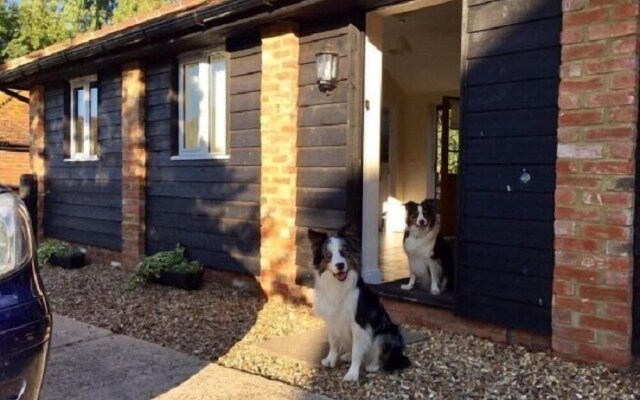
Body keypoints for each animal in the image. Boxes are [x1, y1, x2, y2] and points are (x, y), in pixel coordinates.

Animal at [308, 225, 410, 382]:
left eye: (344, 252)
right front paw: (330, 359)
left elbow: (357, 352)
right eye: (329, 255)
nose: (340, 265)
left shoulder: (358, 323)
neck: (338, 286)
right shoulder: (332, 320)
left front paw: (352, 374)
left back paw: (372, 366)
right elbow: (333, 342)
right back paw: (347, 356)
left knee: (378, 354)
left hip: (385, 334)